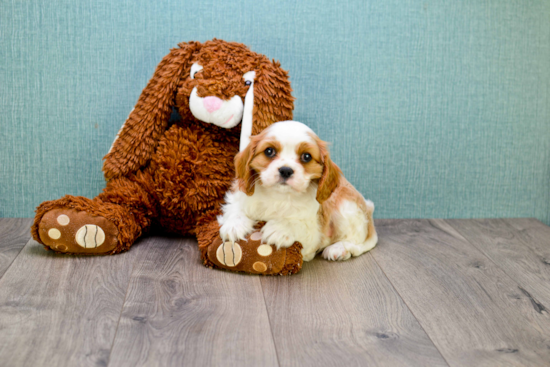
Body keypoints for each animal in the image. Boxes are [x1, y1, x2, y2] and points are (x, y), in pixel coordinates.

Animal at [220, 121, 380, 262]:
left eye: (306, 156)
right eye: (269, 151)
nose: (286, 170)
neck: (279, 196)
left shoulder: (314, 234)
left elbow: (300, 225)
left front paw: (280, 228)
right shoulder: (238, 197)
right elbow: (235, 208)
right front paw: (234, 225)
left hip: (347, 208)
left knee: (357, 242)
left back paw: (339, 249)